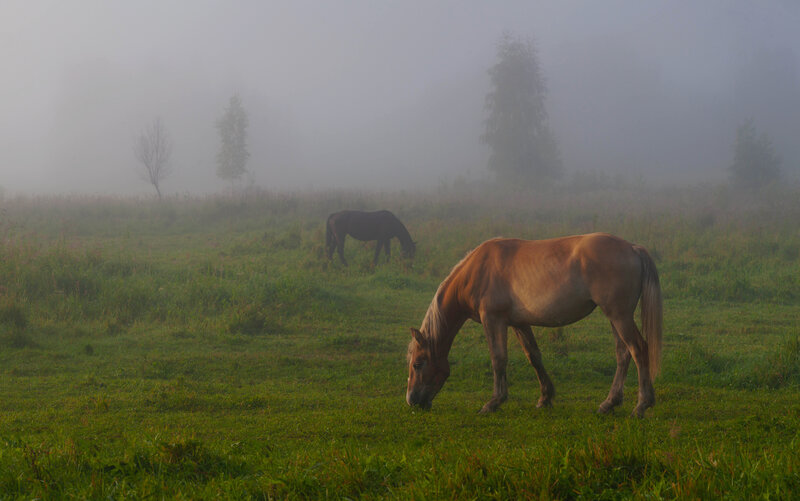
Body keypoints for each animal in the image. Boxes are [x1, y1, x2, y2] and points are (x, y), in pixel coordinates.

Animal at [406, 233, 662, 418]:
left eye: (418, 364)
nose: (411, 400)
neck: (478, 270)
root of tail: (633, 248)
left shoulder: (493, 319)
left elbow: (498, 359)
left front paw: (493, 402)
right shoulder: (519, 323)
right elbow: (534, 357)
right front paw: (545, 397)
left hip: (619, 316)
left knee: (638, 349)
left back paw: (642, 405)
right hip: (615, 317)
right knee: (623, 354)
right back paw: (609, 403)